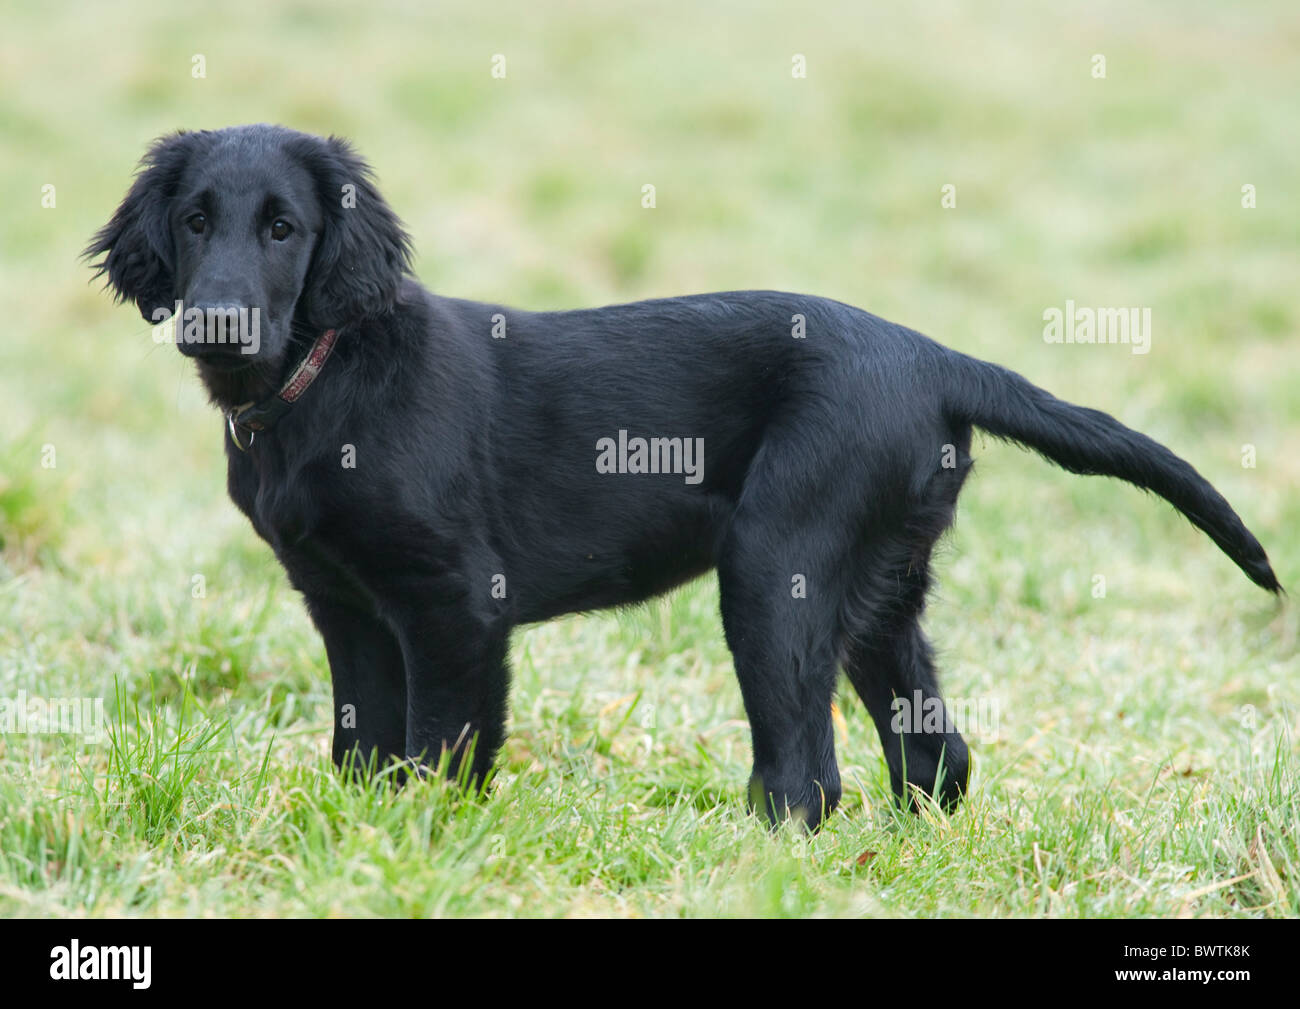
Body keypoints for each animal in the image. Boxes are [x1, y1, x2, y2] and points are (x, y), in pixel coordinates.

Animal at [83, 124, 1279, 826]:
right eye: (196, 221)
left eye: (284, 227)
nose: (215, 322)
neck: (317, 383)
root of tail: (935, 357)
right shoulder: (345, 603)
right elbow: (363, 743)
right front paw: (359, 838)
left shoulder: (453, 602)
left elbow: (441, 748)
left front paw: (424, 844)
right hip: (880, 589)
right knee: (931, 752)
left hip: (774, 563)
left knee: (809, 775)